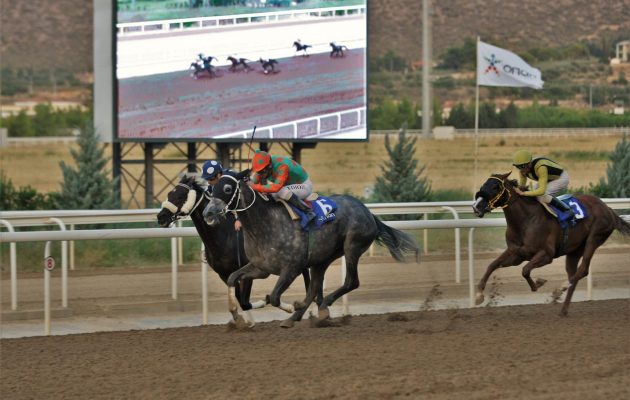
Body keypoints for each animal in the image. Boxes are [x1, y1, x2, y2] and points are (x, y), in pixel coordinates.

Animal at [474, 172, 630, 316]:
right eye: (483, 185)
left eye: (495, 186)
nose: (476, 207)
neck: (526, 221)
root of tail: (609, 209)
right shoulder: (516, 254)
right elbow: (492, 265)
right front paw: (479, 295)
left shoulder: (546, 254)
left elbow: (525, 270)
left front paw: (538, 284)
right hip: (574, 250)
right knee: (574, 274)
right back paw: (563, 309)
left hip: (594, 238)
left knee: (583, 269)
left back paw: (560, 289)